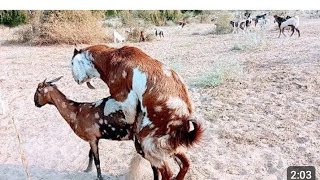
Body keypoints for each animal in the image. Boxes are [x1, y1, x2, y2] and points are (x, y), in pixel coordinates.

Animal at [71, 45, 204, 180]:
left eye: (71, 63)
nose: (75, 79)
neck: (111, 57)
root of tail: (182, 121)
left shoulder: (126, 100)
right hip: (170, 145)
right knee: (185, 164)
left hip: (148, 141)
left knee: (167, 172)